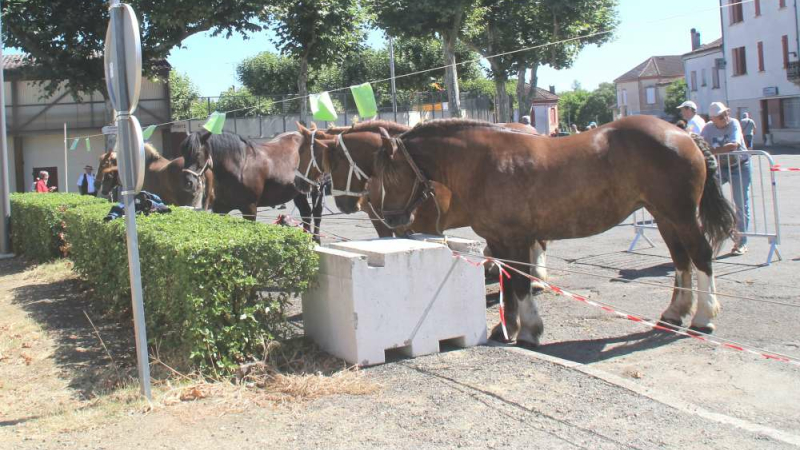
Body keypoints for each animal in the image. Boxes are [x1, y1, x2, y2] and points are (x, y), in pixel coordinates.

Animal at [372, 116, 735, 347]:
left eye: (391, 173)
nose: (390, 218)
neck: (484, 164)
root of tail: (683, 134)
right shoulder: (498, 240)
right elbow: (507, 282)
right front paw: (506, 329)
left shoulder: (516, 238)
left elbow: (520, 284)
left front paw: (529, 332)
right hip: (664, 216)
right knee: (681, 260)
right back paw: (675, 313)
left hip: (681, 214)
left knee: (700, 256)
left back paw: (703, 317)